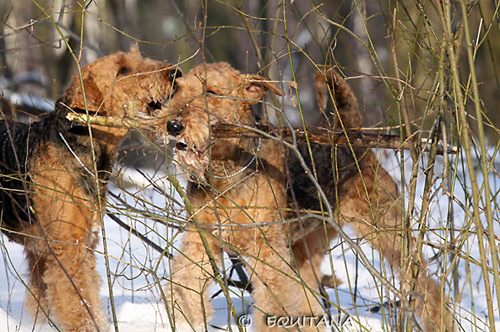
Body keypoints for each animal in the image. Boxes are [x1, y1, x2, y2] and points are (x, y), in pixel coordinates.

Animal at [0, 47, 180, 332]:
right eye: (123, 70)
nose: (175, 73)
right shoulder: (67, 248)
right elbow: (77, 305)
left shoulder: (80, 246)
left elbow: (85, 298)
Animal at [161, 63, 454, 332]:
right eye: (179, 89)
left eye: (211, 92)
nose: (173, 125)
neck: (226, 171)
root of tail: (351, 137)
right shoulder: (200, 241)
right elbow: (185, 284)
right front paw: (184, 320)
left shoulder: (267, 251)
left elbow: (275, 305)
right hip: (308, 245)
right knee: (309, 303)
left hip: (387, 231)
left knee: (426, 285)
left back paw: (441, 322)